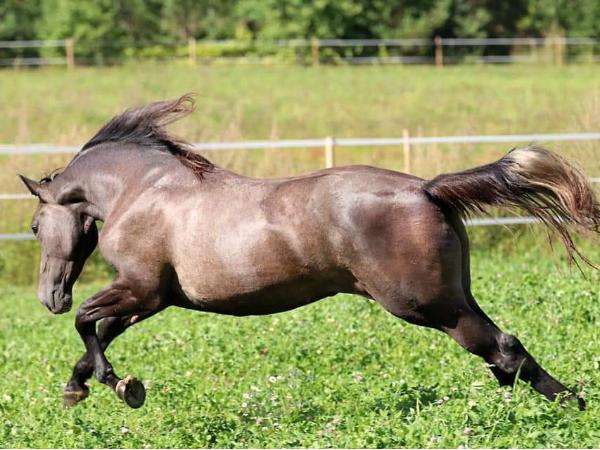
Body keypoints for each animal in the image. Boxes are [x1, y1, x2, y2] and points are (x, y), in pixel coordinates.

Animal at [19, 95, 599, 410]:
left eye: (33, 226)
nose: (50, 298)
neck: (142, 190)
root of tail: (426, 188)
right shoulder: (153, 298)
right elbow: (98, 334)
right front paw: (81, 387)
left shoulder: (139, 288)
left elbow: (88, 323)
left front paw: (121, 386)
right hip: (453, 295)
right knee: (504, 355)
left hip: (427, 304)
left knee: (504, 349)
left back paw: (569, 408)